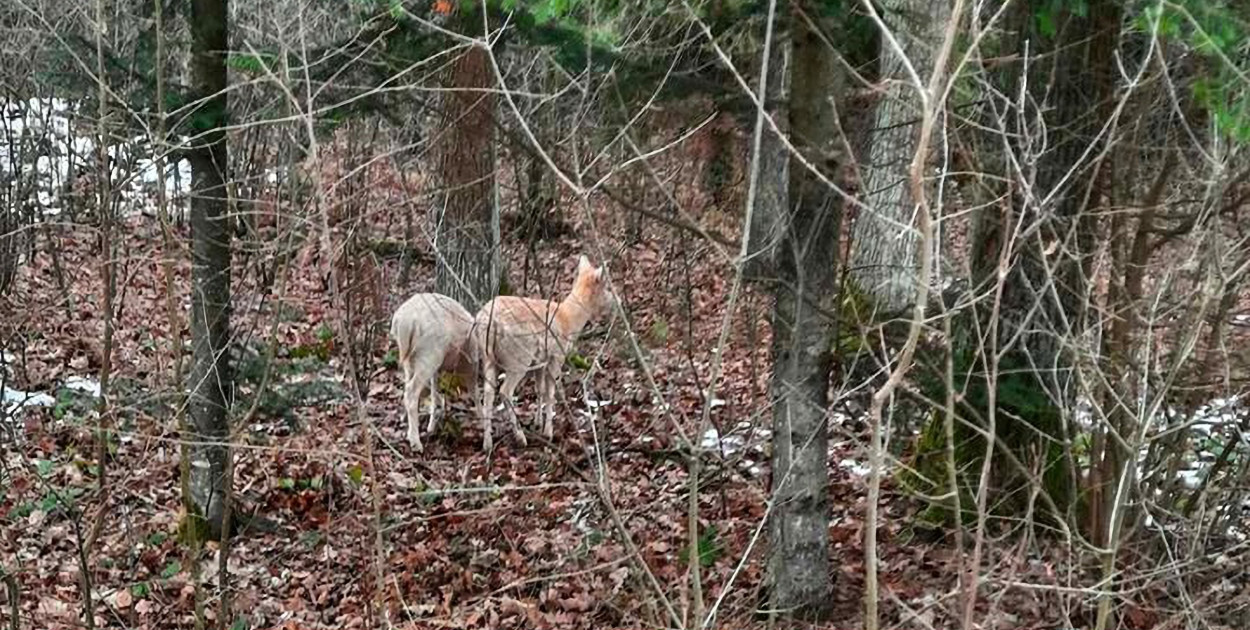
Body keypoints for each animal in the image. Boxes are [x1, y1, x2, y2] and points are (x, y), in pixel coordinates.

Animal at [387, 292, 475, 450]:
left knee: (407, 387)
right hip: (428, 355)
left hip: (412, 359)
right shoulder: (469, 365)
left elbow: (434, 388)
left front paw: (431, 425)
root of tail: (404, 323)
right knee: (411, 392)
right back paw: (416, 442)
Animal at [472, 253, 615, 450]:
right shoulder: (556, 356)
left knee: (488, 392)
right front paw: (548, 432)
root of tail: (489, 321)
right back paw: (520, 437)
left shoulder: (539, 361)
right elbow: (550, 393)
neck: (569, 320)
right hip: (518, 357)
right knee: (505, 391)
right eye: (606, 287)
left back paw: (487, 442)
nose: (617, 301)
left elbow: (539, 389)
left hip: (487, 356)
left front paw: (538, 422)